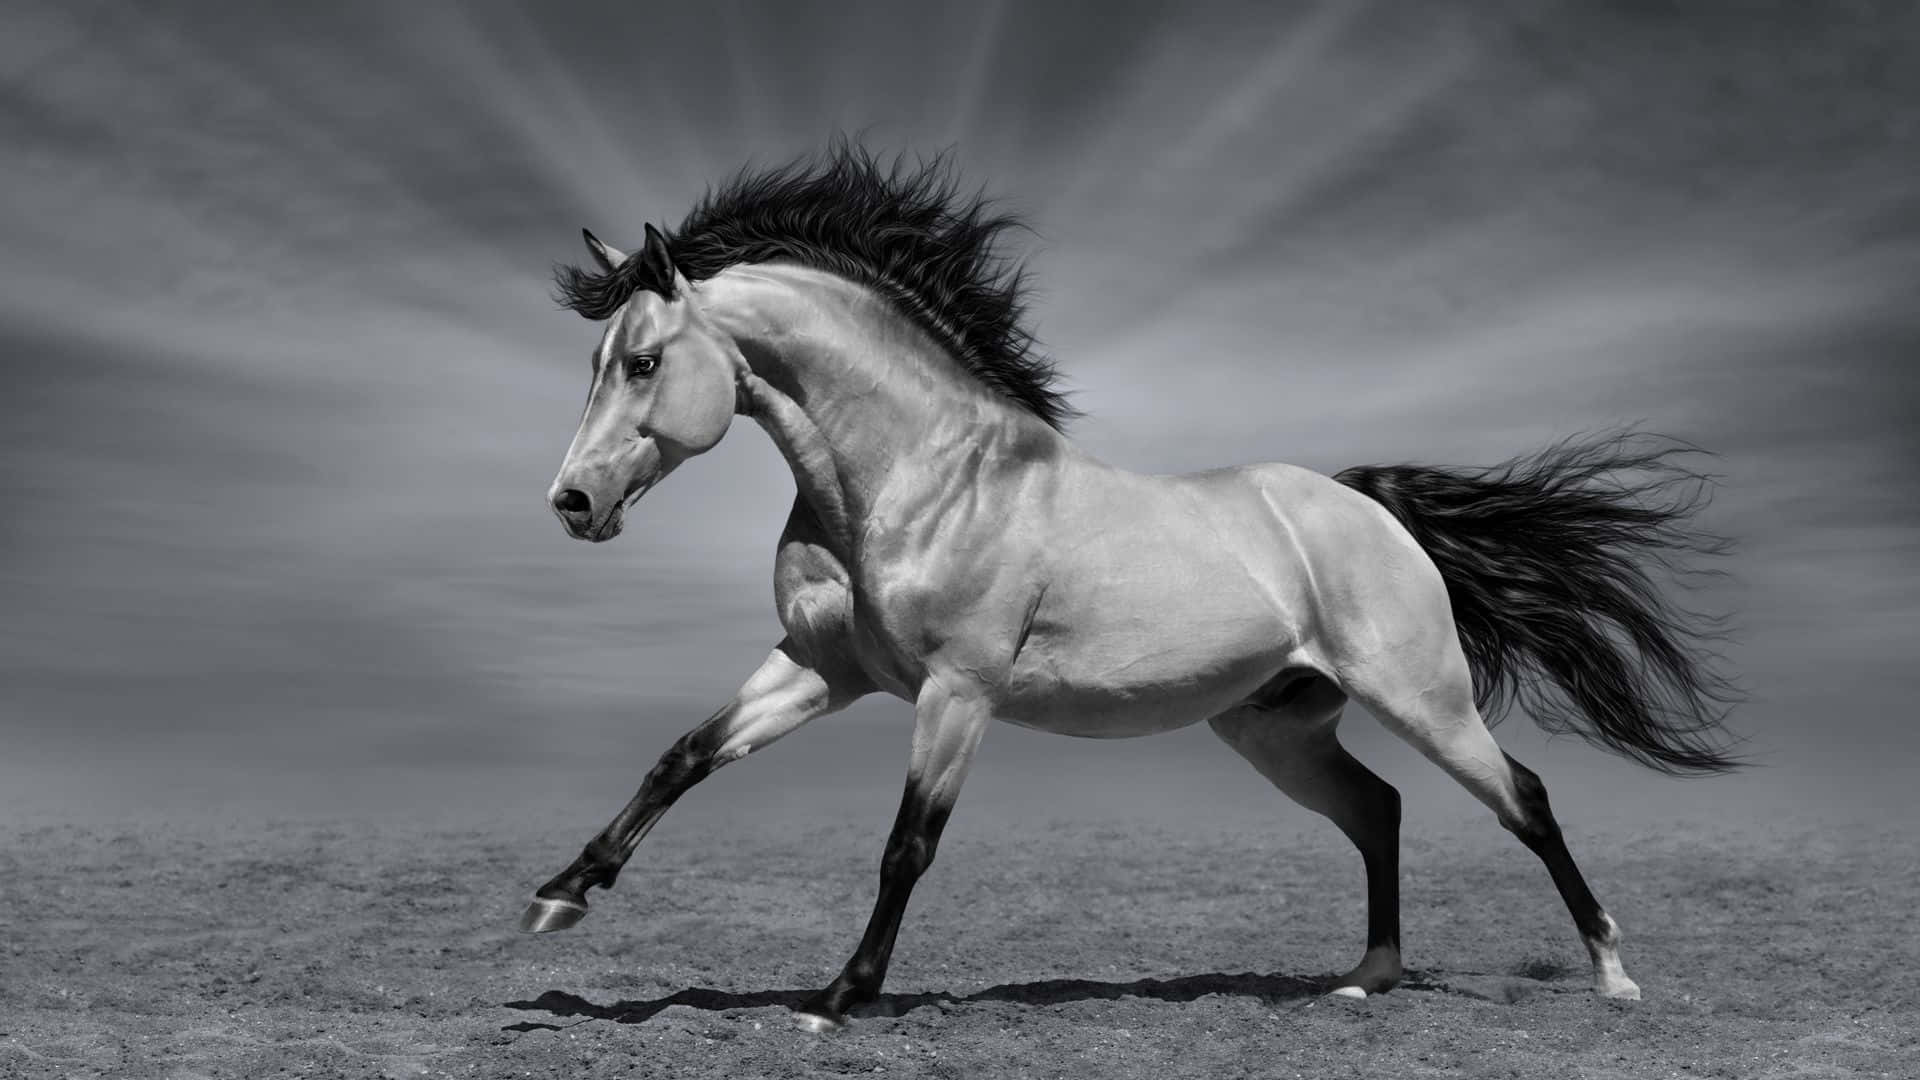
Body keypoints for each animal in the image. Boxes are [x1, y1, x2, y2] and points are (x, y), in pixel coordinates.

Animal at [518, 145, 1740, 1031]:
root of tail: (1367, 508)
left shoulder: (955, 694)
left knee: (1522, 798)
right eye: (596, 362)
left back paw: (1613, 977)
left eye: (641, 362)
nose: (572, 503)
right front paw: (559, 896)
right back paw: (1366, 978)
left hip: (1422, 697)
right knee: (1379, 810)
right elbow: (682, 756)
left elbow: (909, 842)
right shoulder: (823, 669)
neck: (918, 479)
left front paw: (838, 999)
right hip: (1276, 728)